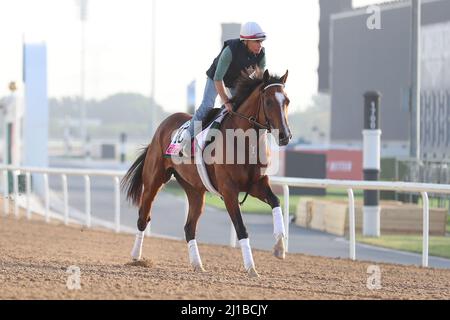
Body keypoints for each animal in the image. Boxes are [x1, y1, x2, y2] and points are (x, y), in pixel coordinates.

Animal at [121, 70, 294, 278]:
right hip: (154, 181)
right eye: (268, 101)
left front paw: (279, 247)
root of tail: (162, 126)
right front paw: (251, 267)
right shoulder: (229, 190)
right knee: (143, 217)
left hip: (194, 190)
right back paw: (136, 257)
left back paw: (197, 264)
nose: (285, 135)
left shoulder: (256, 184)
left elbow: (276, 201)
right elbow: (241, 228)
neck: (244, 142)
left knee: (189, 227)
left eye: (287, 101)